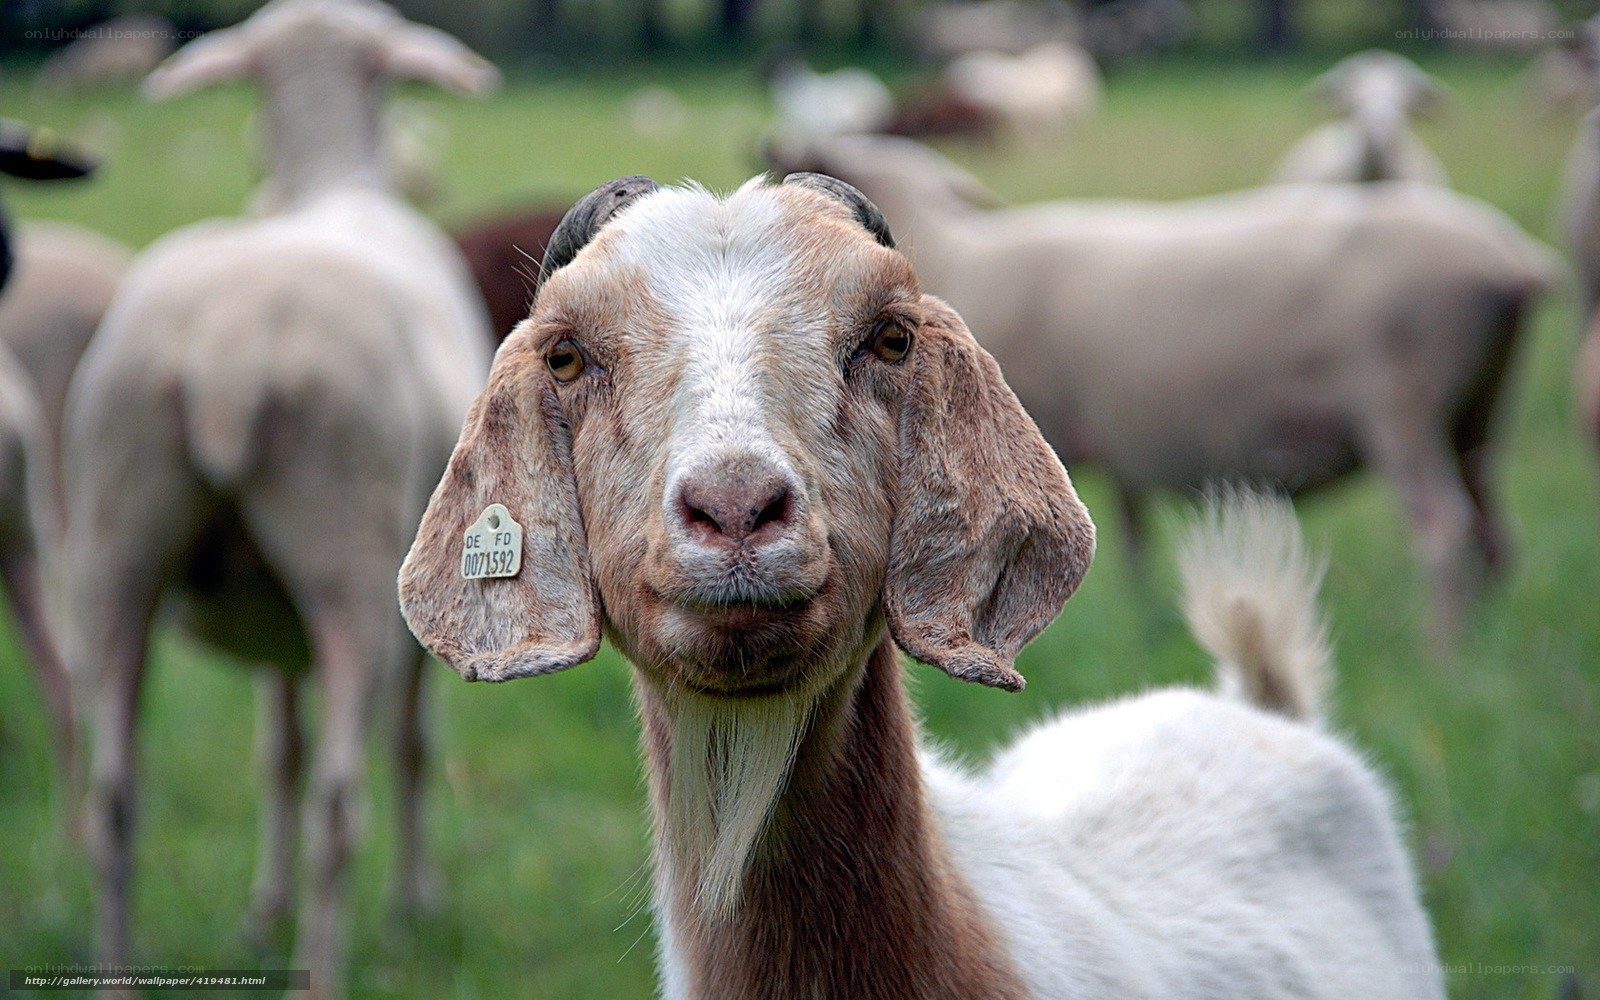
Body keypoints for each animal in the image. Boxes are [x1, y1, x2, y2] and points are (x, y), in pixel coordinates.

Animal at [59, 2, 496, 994]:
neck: (330, 178)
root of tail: (228, 348)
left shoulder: (271, 619)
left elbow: (275, 753)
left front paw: (264, 908)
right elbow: (408, 746)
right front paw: (414, 901)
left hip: (114, 542)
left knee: (112, 800)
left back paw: (115, 973)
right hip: (350, 562)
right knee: (341, 799)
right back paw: (324, 970)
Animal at [782, 134, 1558, 642]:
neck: (957, 249)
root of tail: (1513, 263)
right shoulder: (1111, 437)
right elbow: (1126, 537)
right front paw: (1140, 623)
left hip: (1402, 405)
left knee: (1444, 531)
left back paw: (1444, 653)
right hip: (1479, 413)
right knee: (1495, 533)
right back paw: (1486, 645)